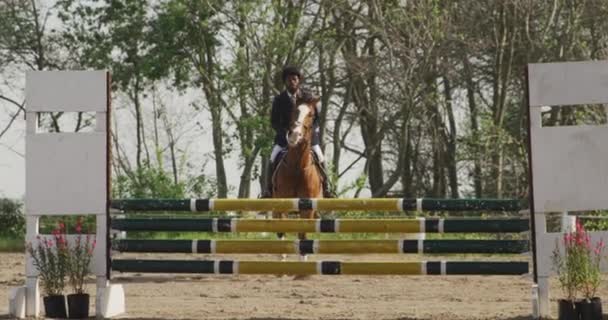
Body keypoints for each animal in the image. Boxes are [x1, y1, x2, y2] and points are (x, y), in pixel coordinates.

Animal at [272, 95, 324, 260]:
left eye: (312, 115)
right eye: (294, 111)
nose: (294, 135)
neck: (297, 167)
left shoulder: (307, 208)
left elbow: (303, 235)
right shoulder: (282, 204)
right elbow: (282, 230)